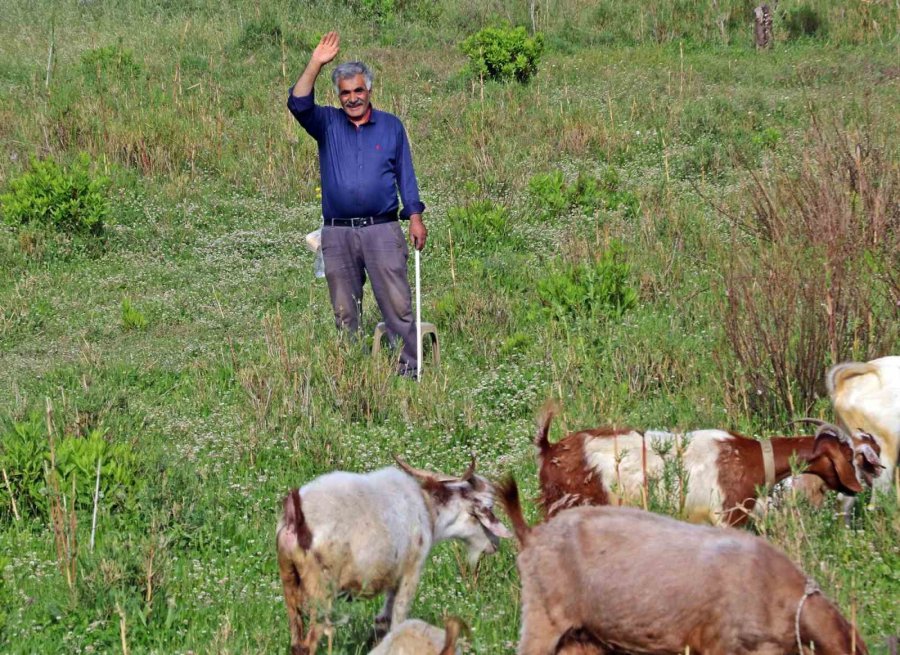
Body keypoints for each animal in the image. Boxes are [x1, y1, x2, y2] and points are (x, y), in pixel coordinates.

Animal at [278, 456, 510, 655]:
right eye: (488, 507)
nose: (495, 544)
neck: (427, 510)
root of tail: (297, 518)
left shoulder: (392, 579)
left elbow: (382, 622)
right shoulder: (410, 571)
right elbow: (398, 620)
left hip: (289, 580)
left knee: (296, 643)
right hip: (321, 588)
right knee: (308, 644)